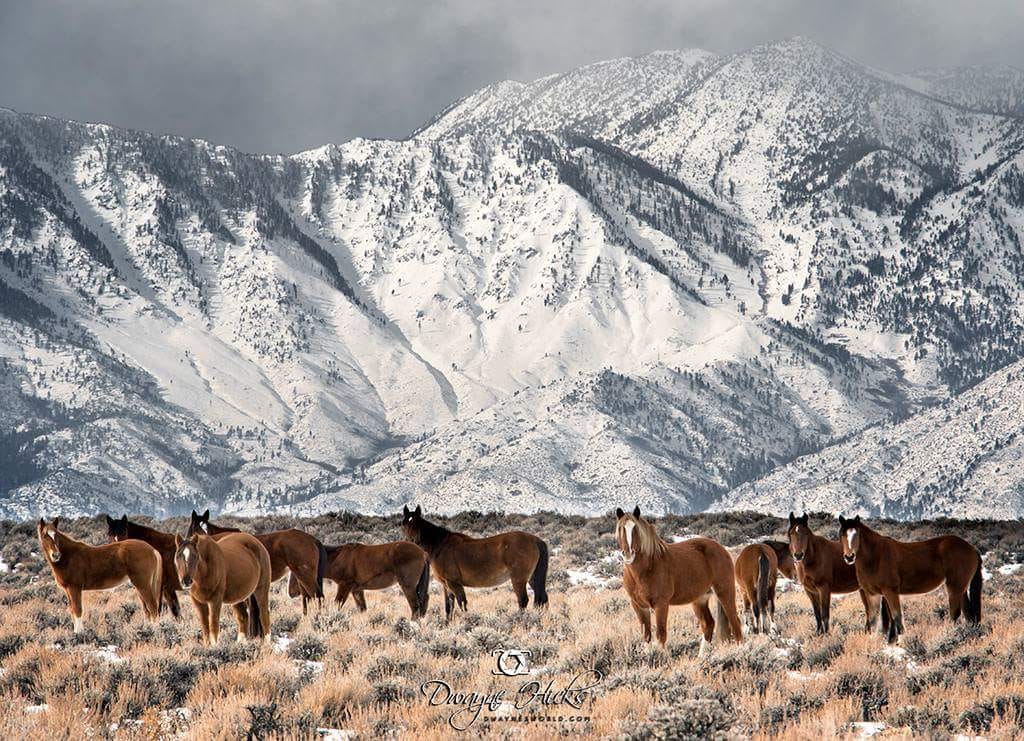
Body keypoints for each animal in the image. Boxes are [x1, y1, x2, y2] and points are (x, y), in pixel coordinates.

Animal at [188, 509, 327, 615]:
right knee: (307, 598)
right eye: (196, 528)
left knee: (317, 596)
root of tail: (313, 539)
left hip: (305, 575)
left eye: (206, 529)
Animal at [291, 541, 431, 619]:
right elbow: (362, 609)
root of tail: (423, 553)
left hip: (408, 587)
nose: (291, 593)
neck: (339, 558)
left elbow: (337, 604)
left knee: (415, 606)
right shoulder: (356, 590)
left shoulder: (345, 586)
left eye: (297, 573)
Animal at [401, 505, 548, 621]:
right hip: (532, 579)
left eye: (417, 523)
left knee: (523, 600)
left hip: (518, 579)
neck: (440, 545)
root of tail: (536, 540)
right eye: (404, 524)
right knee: (542, 599)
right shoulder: (446, 586)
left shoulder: (454, 584)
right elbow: (449, 608)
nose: (411, 542)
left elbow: (462, 604)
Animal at [616, 507, 742, 653]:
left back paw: (740, 649)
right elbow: (646, 636)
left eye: (635, 528)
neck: (646, 569)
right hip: (700, 599)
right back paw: (702, 656)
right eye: (621, 528)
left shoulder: (661, 604)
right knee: (708, 624)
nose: (628, 554)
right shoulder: (639, 606)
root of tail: (722, 549)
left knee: (735, 621)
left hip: (724, 592)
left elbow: (661, 635)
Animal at [838, 514, 983, 644]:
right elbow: (873, 620)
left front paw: (900, 640)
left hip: (955, 587)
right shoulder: (872, 594)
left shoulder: (890, 592)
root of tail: (972, 549)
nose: (849, 557)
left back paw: (951, 635)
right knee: (968, 614)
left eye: (857, 534)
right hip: (961, 588)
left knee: (955, 613)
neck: (875, 557)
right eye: (842, 534)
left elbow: (896, 616)